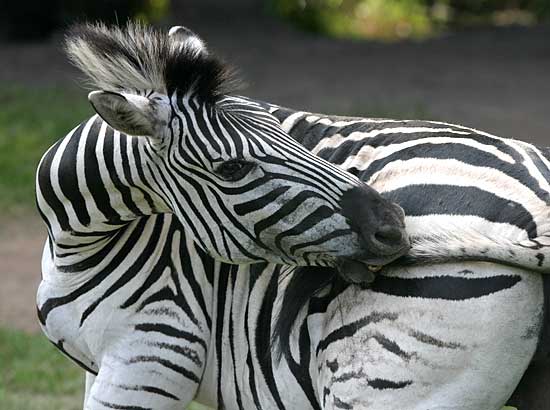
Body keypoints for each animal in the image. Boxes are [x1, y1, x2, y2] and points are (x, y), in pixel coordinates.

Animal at [36, 23, 548, 410]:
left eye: (289, 135)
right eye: (232, 168)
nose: (394, 226)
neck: (77, 239)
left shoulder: (153, 354)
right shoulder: (100, 366)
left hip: (384, 383)